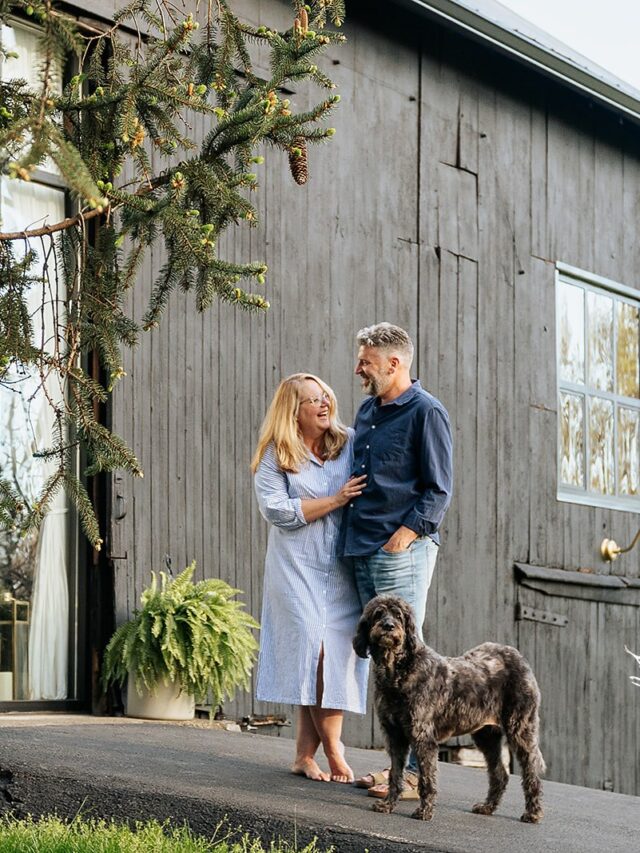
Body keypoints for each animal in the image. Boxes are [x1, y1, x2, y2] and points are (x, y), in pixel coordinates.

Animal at [356, 596, 544, 824]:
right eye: (378, 614)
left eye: (398, 615)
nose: (388, 626)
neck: (398, 671)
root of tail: (518, 656)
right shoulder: (394, 735)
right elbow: (395, 773)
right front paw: (388, 804)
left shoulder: (423, 737)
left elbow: (427, 779)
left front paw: (425, 811)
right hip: (486, 735)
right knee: (500, 773)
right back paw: (487, 807)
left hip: (520, 727)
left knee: (531, 770)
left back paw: (533, 812)